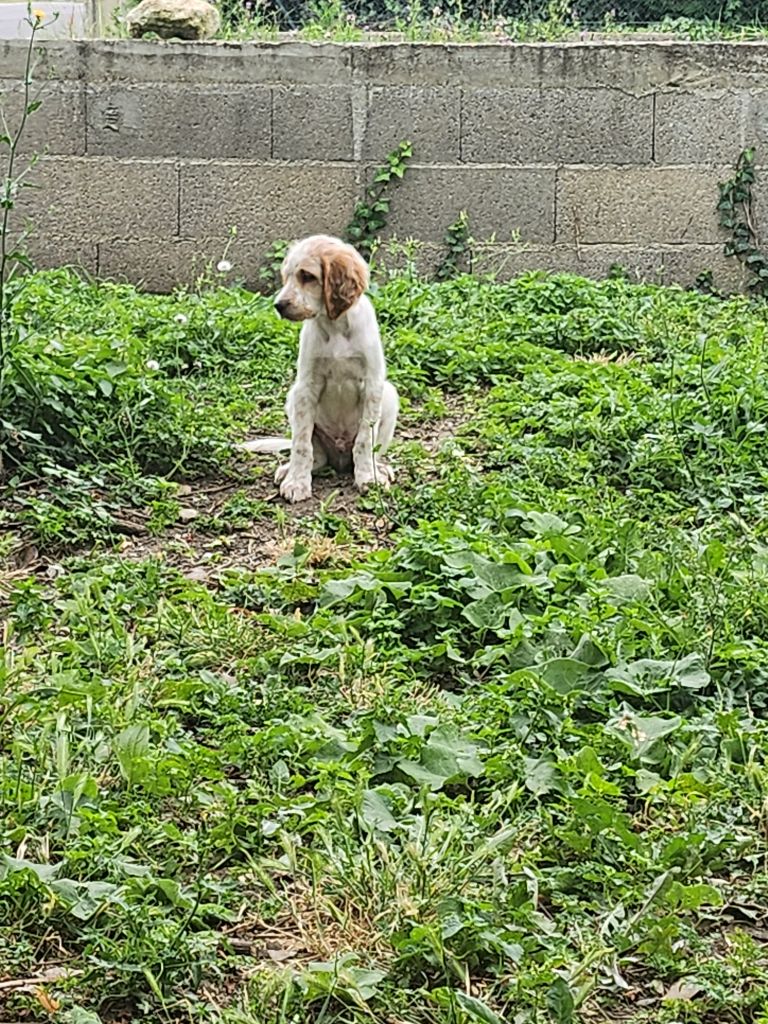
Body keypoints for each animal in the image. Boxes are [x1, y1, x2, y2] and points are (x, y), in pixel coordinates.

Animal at [240, 233, 399, 503]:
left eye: (307, 276)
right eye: (286, 276)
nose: (279, 305)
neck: (335, 327)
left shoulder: (372, 384)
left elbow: (365, 440)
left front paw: (368, 477)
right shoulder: (307, 386)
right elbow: (302, 444)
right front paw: (296, 482)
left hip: (390, 395)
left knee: (372, 448)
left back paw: (380, 468)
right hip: (293, 397)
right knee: (314, 454)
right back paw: (288, 470)